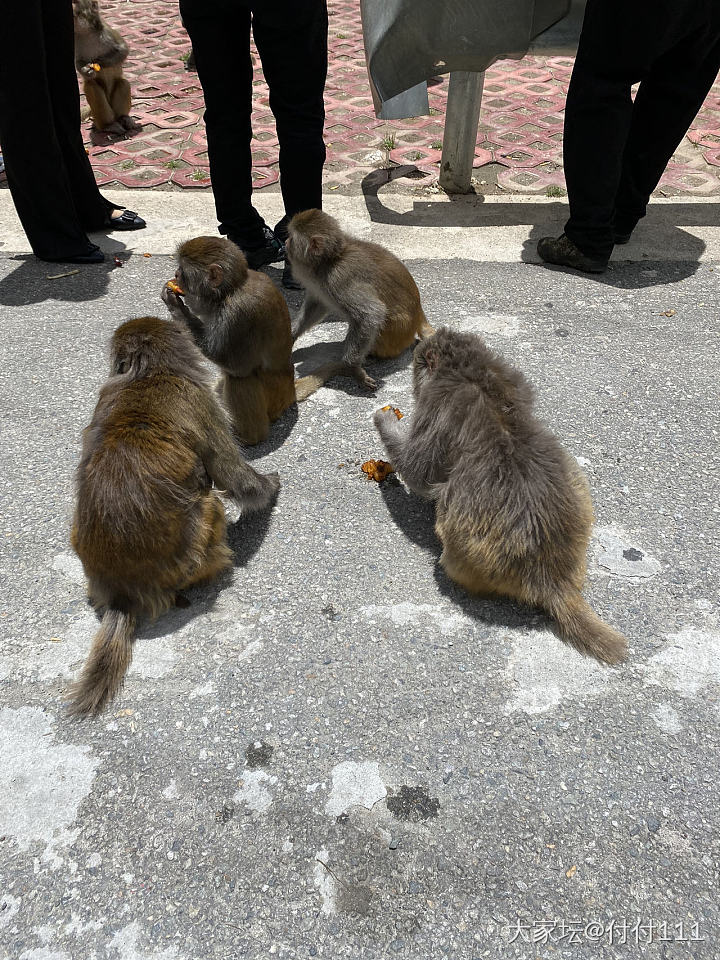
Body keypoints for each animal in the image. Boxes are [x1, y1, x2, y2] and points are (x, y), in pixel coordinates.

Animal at [68, 316, 282, 712]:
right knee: (209, 501)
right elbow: (233, 475)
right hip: (190, 553)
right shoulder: (201, 399)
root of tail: (120, 590)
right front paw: (270, 488)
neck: (146, 373)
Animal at [73, 0, 139, 136]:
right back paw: (108, 125)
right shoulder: (76, 40)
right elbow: (78, 62)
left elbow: (123, 50)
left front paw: (101, 62)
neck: (86, 32)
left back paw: (123, 118)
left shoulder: (107, 32)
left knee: (122, 83)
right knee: (92, 87)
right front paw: (87, 71)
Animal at [162, 234, 342, 444]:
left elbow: (236, 366)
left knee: (240, 378)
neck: (230, 291)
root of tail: (290, 391)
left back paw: (247, 436)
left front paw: (176, 306)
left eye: (182, 272)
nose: (175, 275)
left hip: (273, 399)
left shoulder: (238, 313)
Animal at [286, 209, 434, 390]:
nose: (285, 242)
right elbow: (318, 304)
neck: (330, 260)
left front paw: (353, 369)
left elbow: (371, 313)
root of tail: (419, 311)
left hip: (397, 332)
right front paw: (291, 334)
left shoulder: (339, 279)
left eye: (292, 238)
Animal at [374, 326, 628, 664]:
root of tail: (552, 577)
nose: (415, 353)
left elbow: (418, 470)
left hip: (468, 555)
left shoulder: (438, 403)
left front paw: (384, 419)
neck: (474, 372)